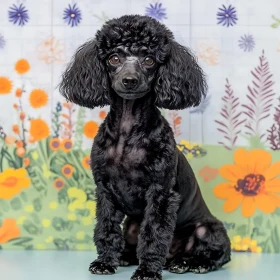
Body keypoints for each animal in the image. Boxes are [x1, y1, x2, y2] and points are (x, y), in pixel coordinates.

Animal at [58, 14, 230, 280]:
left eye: (149, 60)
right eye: (114, 58)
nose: (130, 80)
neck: (127, 135)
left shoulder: (160, 193)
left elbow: (153, 235)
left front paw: (148, 270)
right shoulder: (105, 191)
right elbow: (106, 229)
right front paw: (105, 262)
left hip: (207, 228)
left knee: (217, 255)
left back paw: (192, 262)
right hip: (131, 225)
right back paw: (131, 257)